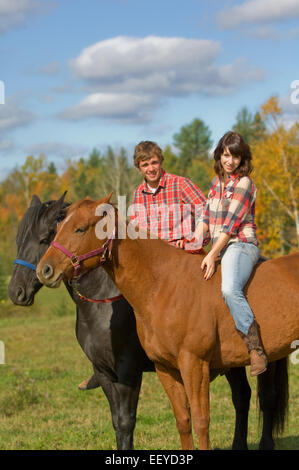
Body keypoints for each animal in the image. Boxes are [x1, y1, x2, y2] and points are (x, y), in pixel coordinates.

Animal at [6, 193, 288, 450]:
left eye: (45, 237)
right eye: (18, 239)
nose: (17, 291)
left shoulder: (129, 371)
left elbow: (127, 421)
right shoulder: (104, 372)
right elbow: (117, 421)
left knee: (264, 397)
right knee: (243, 397)